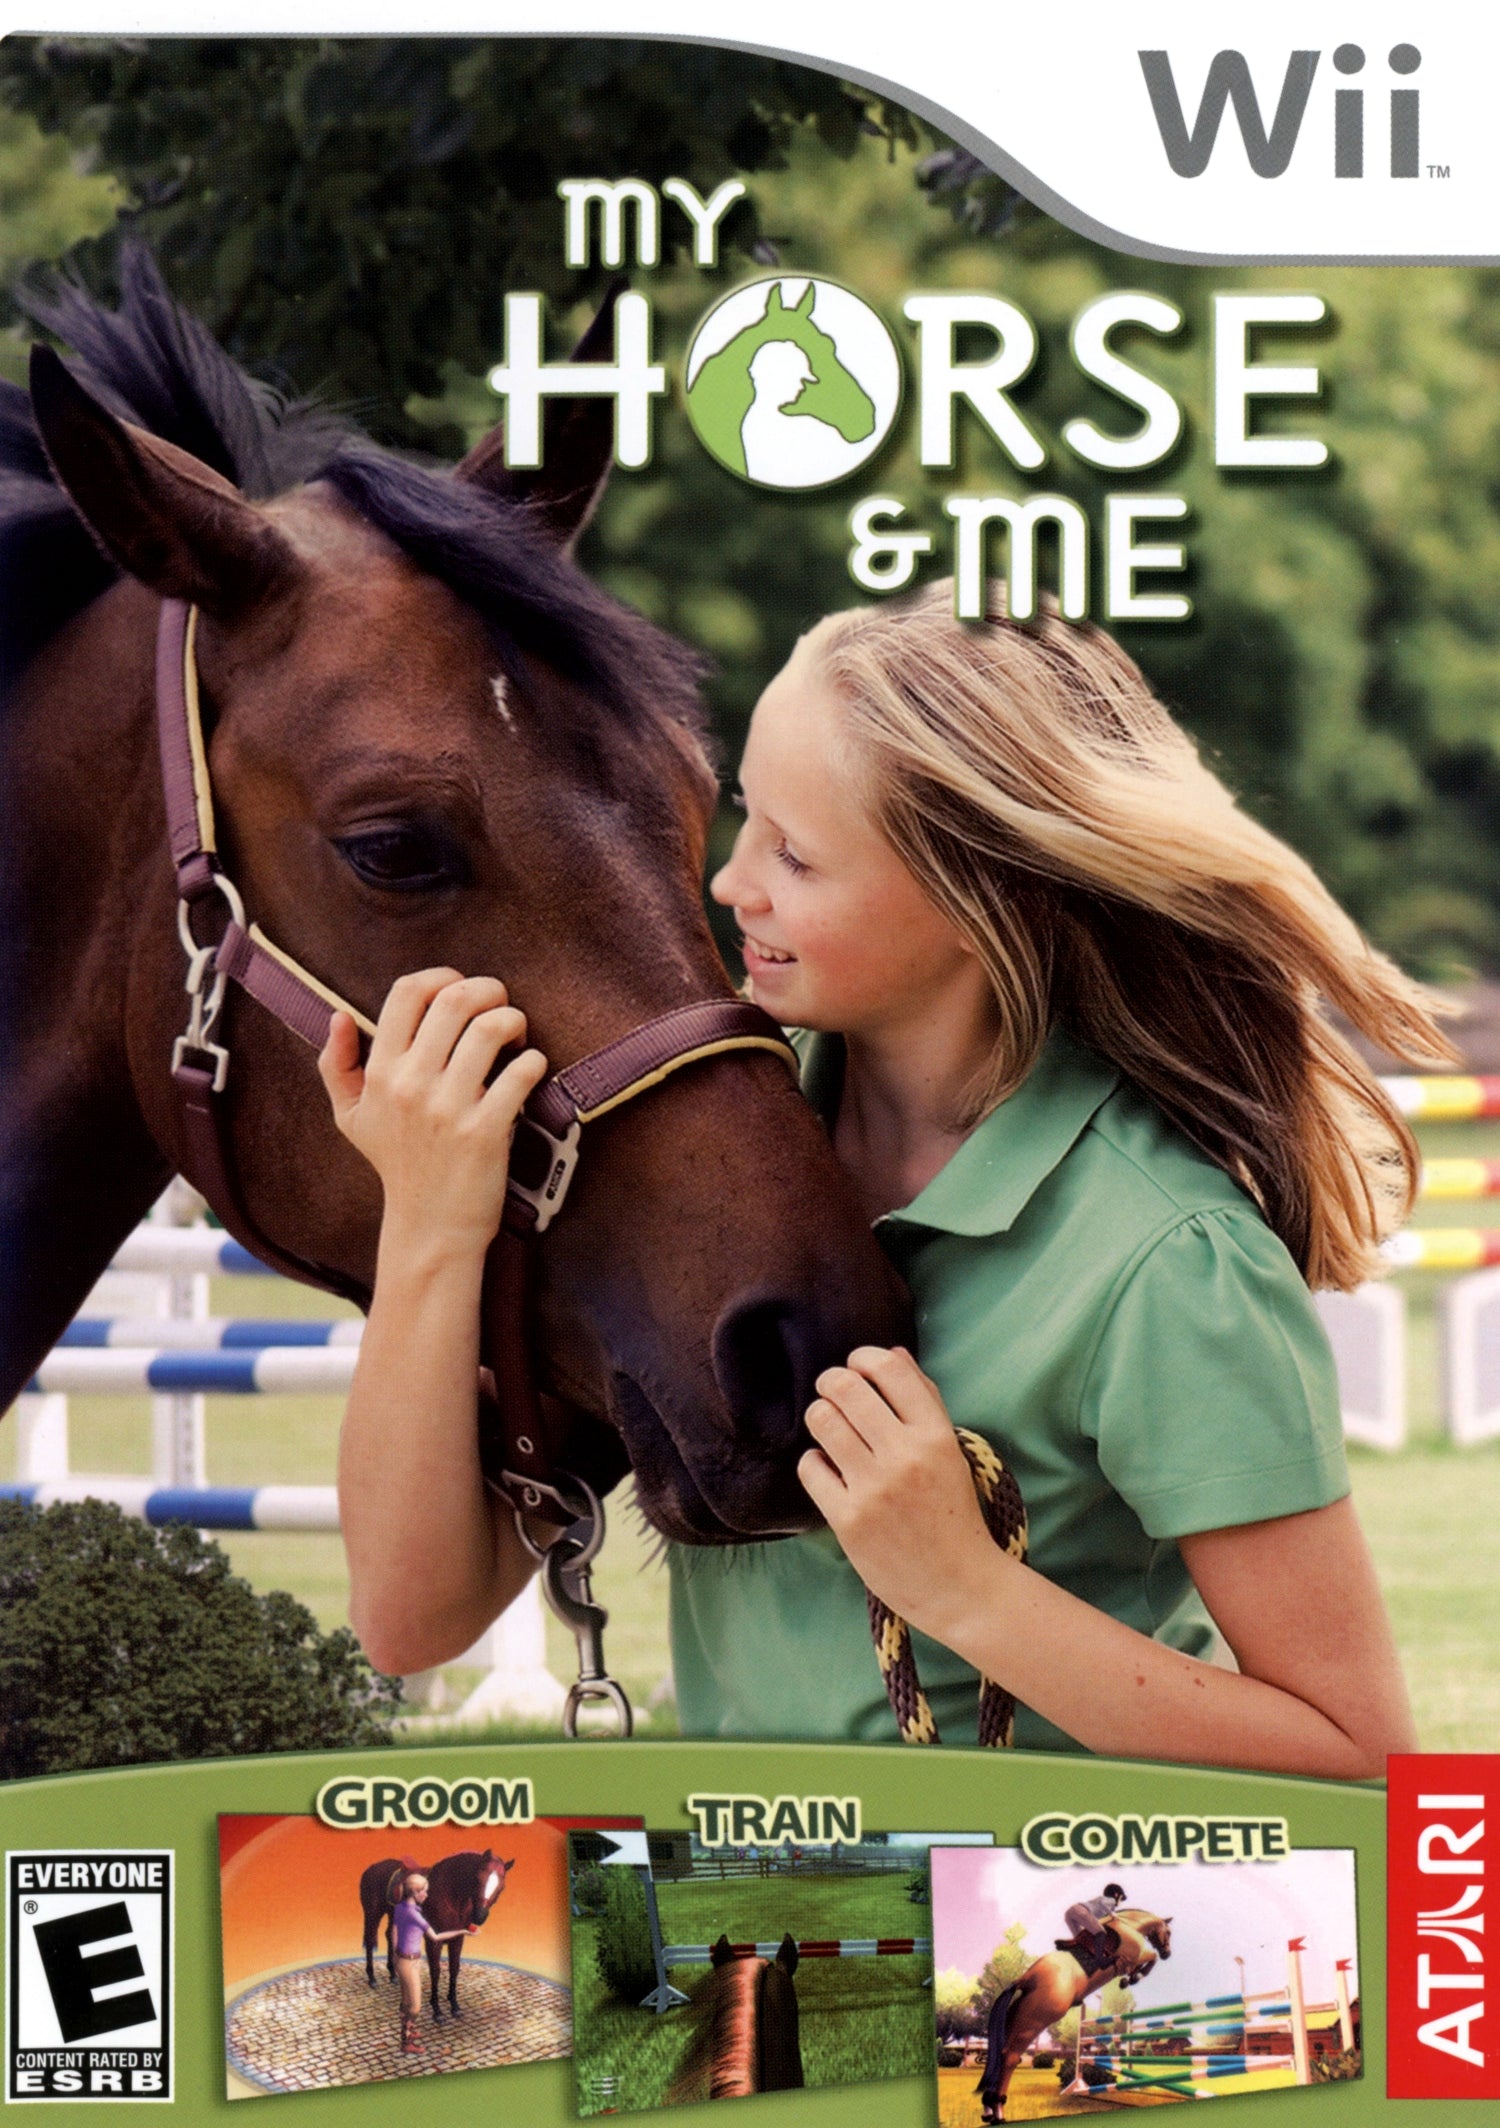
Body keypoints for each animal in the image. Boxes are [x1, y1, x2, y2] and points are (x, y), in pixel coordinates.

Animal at [359, 1850, 512, 2020]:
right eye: (478, 1879)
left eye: (502, 1887)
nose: (479, 1916)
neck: (449, 1894)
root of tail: (372, 1868)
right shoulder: (433, 1941)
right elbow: (435, 1971)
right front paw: (437, 2010)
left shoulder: (457, 1939)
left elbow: (454, 1968)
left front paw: (454, 2005)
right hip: (372, 1913)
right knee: (370, 1940)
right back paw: (372, 1979)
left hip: (393, 1914)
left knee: (389, 1937)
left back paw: (393, 1975)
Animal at [976, 1907, 1173, 2123]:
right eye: (1168, 1933)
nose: (1167, 1953)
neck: (1129, 1925)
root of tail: (1025, 1979)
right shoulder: (1136, 1956)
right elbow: (1150, 1958)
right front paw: (1132, 1978)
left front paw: (1129, 1978)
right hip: (1034, 2022)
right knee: (1010, 2057)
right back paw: (998, 2111)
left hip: (1016, 2018)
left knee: (1000, 2056)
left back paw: (988, 2109)